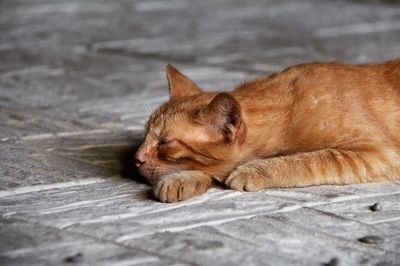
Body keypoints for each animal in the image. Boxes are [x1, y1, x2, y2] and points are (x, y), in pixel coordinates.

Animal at [134, 60, 400, 202]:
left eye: (165, 143)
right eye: (145, 135)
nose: (136, 159)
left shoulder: (380, 154)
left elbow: (313, 159)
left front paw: (254, 170)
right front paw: (182, 178)